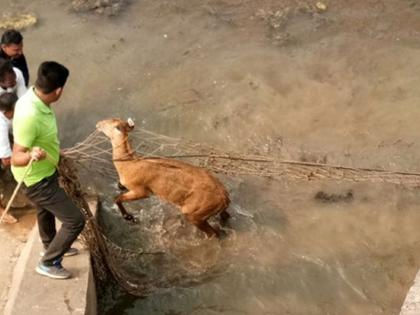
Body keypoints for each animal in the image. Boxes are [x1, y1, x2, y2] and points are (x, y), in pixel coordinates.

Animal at [95, 119, 231, 238]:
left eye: (108, 123)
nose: (97, 124)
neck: (128, 164)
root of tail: (224, 197)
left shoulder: (141, 190)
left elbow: (117, 198)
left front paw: (129, 217)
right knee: (225, 217)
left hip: (194, 213)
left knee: (213, 234)